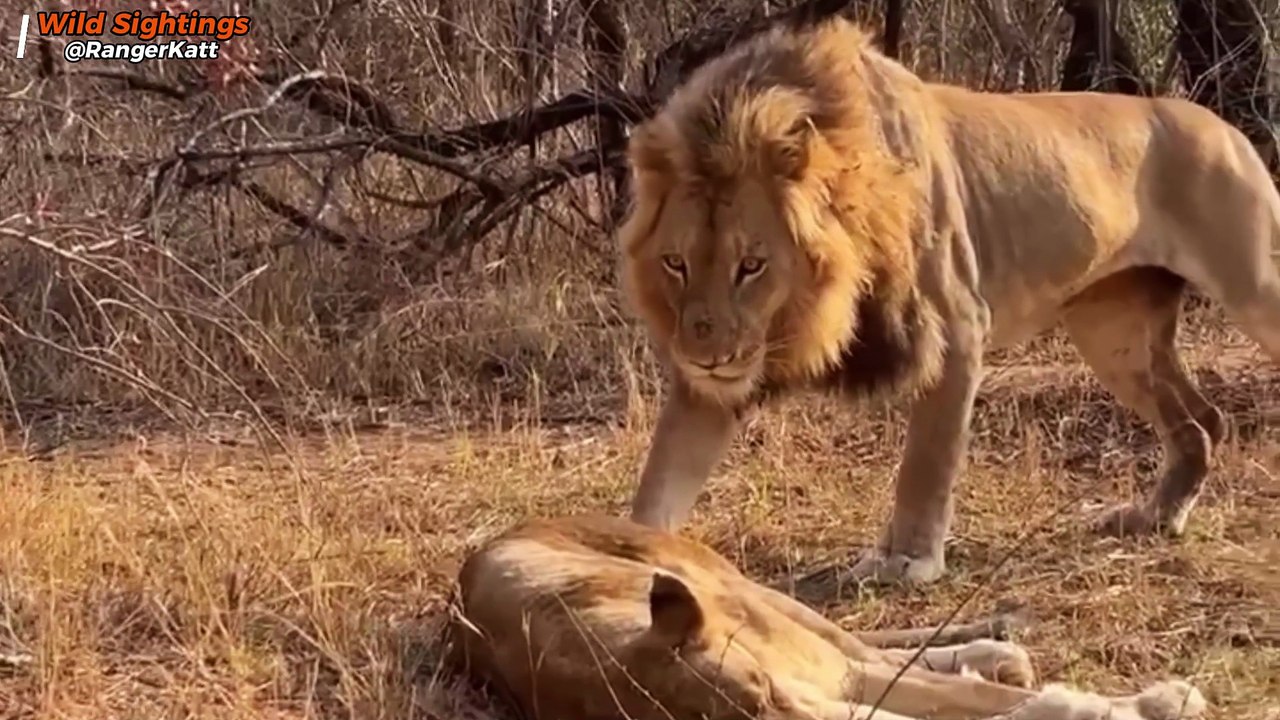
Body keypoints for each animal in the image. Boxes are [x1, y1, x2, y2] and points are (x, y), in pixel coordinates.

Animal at [447, 514, 1207, 720]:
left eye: (760, 694)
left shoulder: (817, 675)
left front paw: (1154, 701)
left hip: (757, 594)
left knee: (870, 645)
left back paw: (1000, 653)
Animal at [617, 17, 1280, 588]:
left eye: (751, 266)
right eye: (675, 263)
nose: (704, 356)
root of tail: (1221, 124)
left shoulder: (957, 325)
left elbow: (926, 462)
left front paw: (906, 561)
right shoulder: (714, 381)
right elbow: (662, 476)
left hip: (1254, 286)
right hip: (1111, 333)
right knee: (1200, 421)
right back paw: (1155, 517)